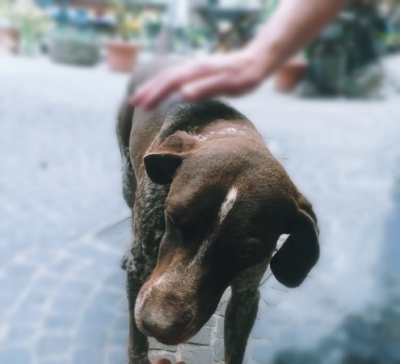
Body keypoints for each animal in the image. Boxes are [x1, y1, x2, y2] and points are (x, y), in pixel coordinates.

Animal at [117, 58, 320, 362]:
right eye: (173, 218)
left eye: (244, 252)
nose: (158, 325)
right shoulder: (140, 270)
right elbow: (137, 342)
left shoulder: (246, 294)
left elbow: (235, 349)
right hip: (128, 176)